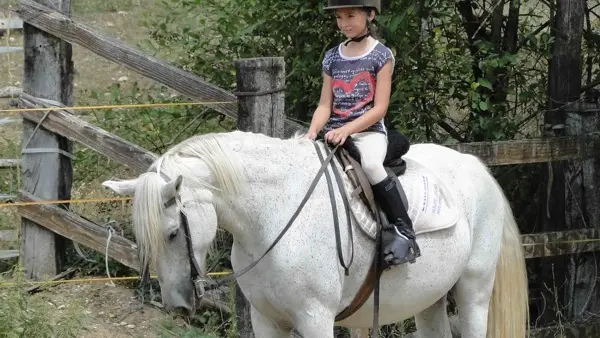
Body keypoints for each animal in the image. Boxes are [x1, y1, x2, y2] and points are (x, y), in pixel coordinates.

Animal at [103, 131, 528, 338]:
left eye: (174, 233)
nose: (176, 306)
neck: (272, 216)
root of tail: (475, 165)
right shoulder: (267, 320)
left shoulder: (316, 319)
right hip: (429, 298)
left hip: (474, 290)